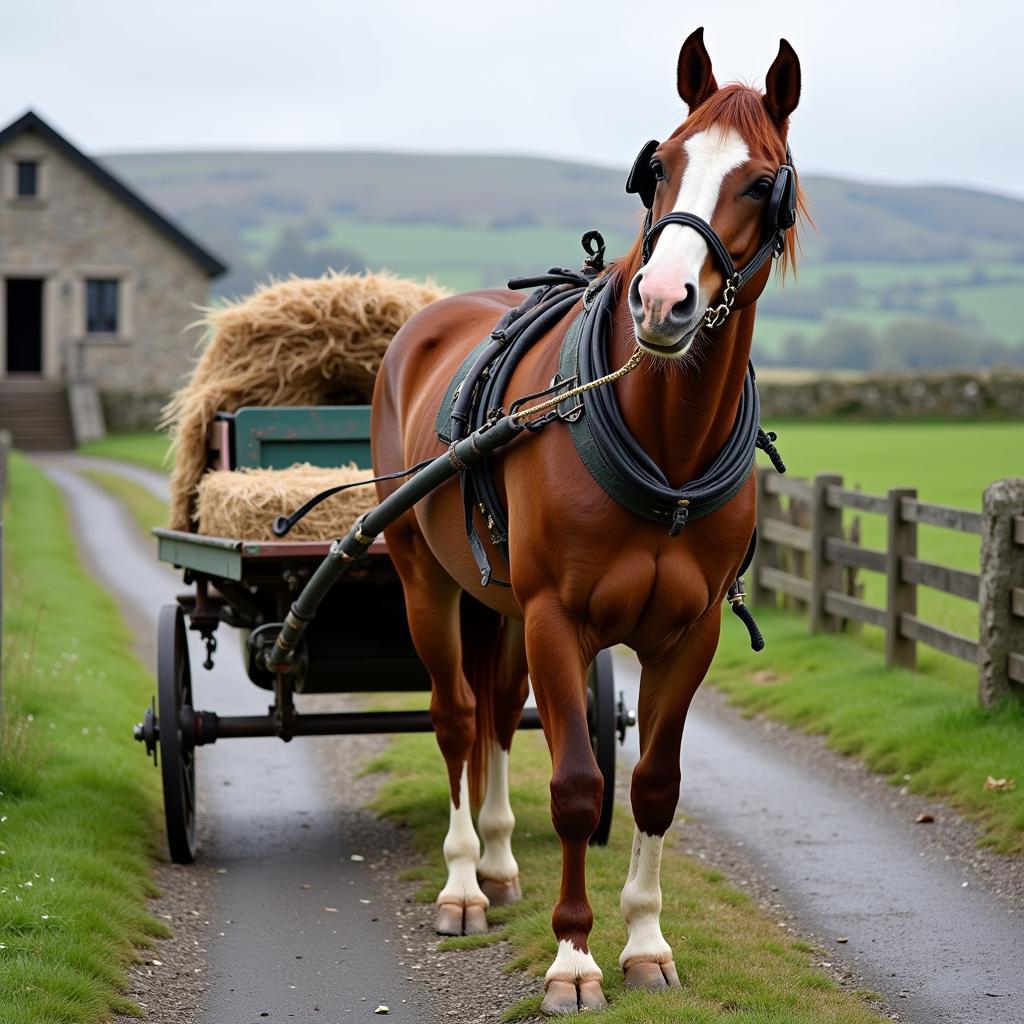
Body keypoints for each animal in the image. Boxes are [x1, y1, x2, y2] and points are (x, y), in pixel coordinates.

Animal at [372, 28, 802, 1011]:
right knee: (457, 719)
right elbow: (576, 784)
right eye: (662, 165)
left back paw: (498, 865)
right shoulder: (556, 619)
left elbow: (652, 785)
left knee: (495, 714)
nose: (663, 300)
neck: (666, 446)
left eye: (762, 181)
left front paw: (647, 945)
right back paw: (463, 884)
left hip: (496, 602)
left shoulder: (690, 632)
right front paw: (573, 958)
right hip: (426, 582)